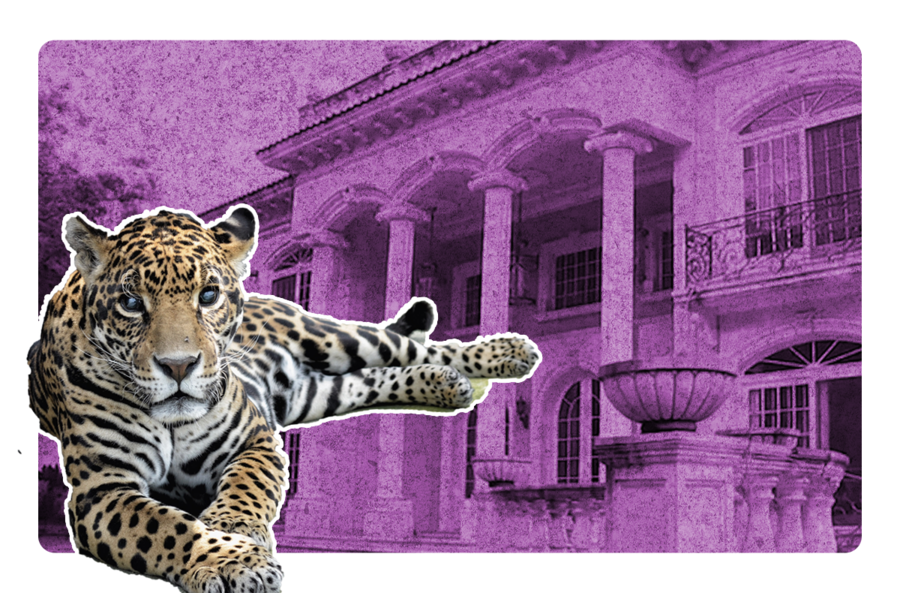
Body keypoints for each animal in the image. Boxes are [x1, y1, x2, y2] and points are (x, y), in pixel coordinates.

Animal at [28, 204, 541, 592]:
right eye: (131, 303)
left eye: (208, 296)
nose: (179, 366)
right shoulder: (102, 489)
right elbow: (166, 526)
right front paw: (229, 559)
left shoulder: (254, 441)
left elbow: (246, 486)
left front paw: (235, 531)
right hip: (316, 392)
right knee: (373, 377)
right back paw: (446, 383)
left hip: (335, 338)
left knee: (417, 345)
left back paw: (507, 352)